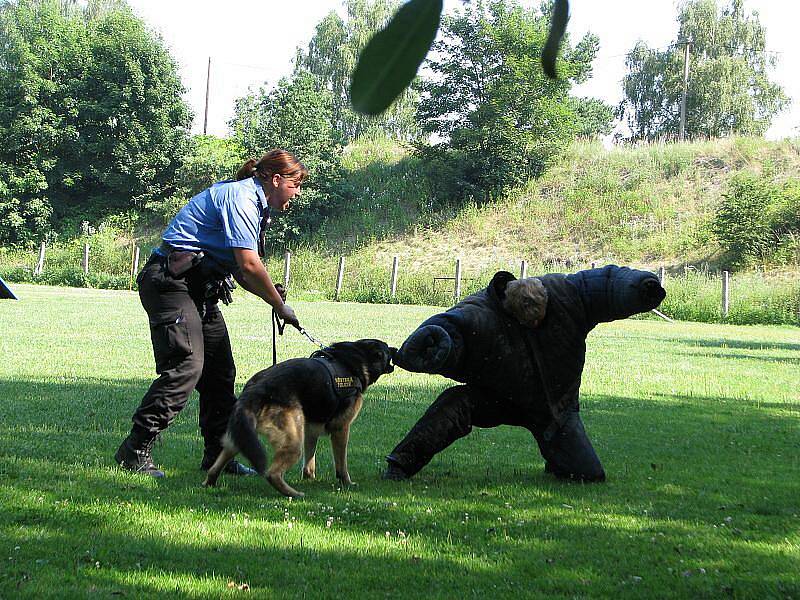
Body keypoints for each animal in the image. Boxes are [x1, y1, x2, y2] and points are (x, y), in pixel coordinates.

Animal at [205, 338, 396, 496]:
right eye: (387, 348)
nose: (395, 348)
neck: (357, 360)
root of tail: (258, 388)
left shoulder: (311, 430)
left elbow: (310, 460)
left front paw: (309, 478)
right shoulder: (341, 429)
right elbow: (341, 463)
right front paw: (346, 482)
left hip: (242, 437)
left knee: (215, 466)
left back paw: (210, 483)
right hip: (293, 442)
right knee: (272, 474)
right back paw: (293, 494)